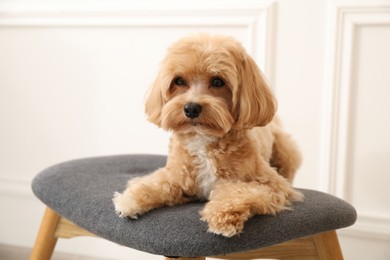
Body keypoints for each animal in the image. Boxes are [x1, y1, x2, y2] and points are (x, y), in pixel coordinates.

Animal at [111, 34, 304, 238]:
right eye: (179, 81)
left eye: (218, 81)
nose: (191, 108)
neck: (203, 140)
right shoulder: (177, 176)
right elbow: (156, 183)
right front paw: (130, 199)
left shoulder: (274, 186)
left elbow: (239, 191)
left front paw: (223, 216)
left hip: (287, 152)